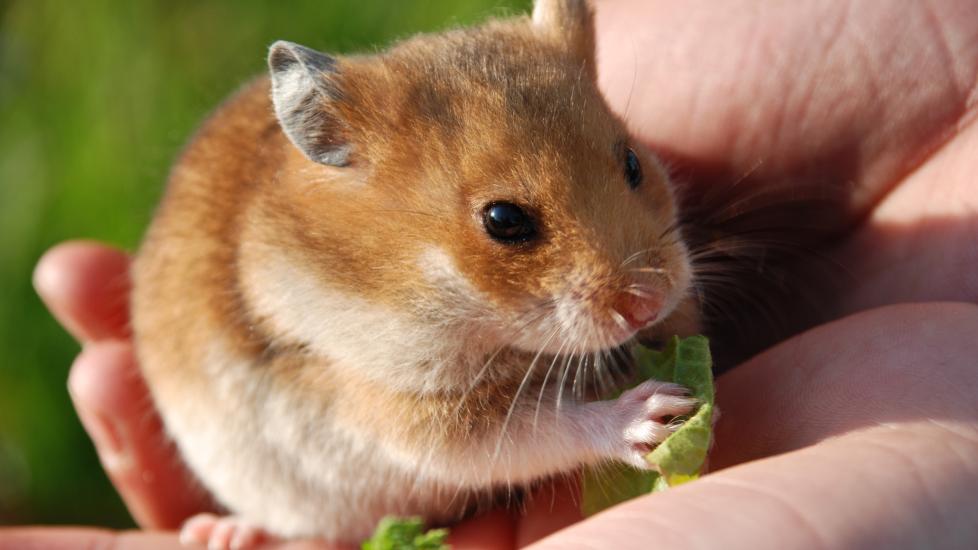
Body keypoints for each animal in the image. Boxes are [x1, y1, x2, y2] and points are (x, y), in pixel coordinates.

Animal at [133, 0, 700, 544]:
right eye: (504, 220)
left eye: (633, 163)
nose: (649, 303)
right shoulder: (414, 413)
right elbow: (544, 428)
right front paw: (658, 414)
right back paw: (220, 533)